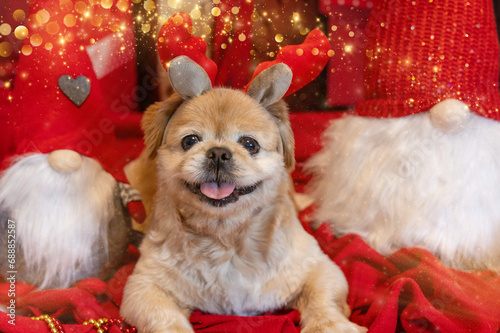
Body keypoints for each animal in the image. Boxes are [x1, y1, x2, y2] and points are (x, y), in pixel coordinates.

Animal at [119, 57, 366, 332]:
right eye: (189, 141)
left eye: (250, 144)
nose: (218, 153)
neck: (226, 238)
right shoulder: (143, 287)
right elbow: (164, 318)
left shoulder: (319, 268)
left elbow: (322, 301)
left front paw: (330, 325)